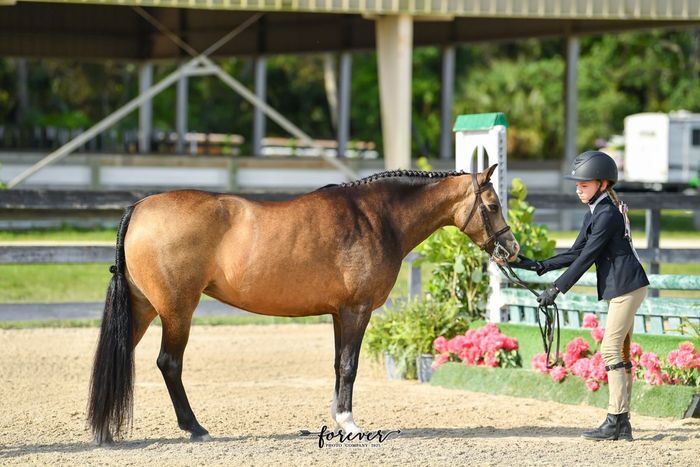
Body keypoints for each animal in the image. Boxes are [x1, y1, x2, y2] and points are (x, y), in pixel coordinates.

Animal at [87, 163, 519, 444]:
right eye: (493, 205)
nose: (512, 249)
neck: (376, 217)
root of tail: (140, 208)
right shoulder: (357, 310)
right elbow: (349, 366)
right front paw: (349, 423)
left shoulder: (339, 313)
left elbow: (337, 365)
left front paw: (337, 417)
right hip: (177, 311)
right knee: (169, 363)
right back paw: (194, 428)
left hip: (143, 308)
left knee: (120, 355)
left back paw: (105, 429)